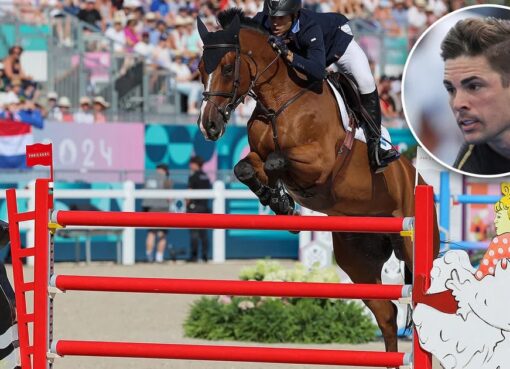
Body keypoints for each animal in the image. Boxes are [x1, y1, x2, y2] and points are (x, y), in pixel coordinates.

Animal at [194, 8, 438, 362]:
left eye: (227, 67)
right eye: (200, 69)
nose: (209, 126)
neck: (280, 101)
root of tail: (416, 177)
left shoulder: (320, 163)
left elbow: (276, 162)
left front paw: (282, 200)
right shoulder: (256, 155)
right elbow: (245, 168)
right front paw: (280, 203)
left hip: (410, 240)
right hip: (357, 260)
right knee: (387, 314)